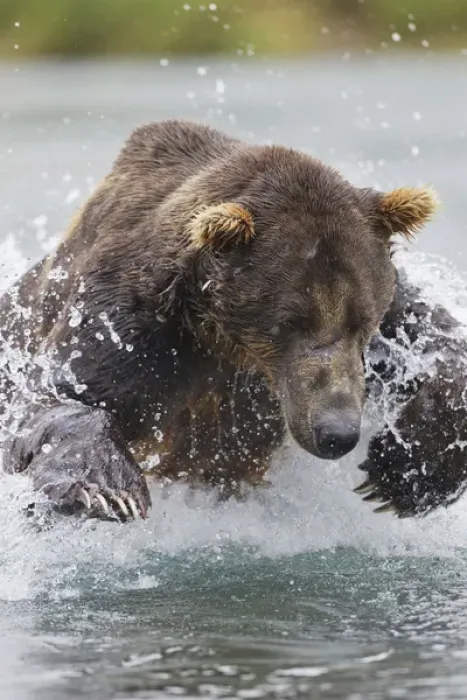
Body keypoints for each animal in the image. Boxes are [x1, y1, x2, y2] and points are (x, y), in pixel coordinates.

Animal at [0, 118, 466, 523]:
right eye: (288, 322)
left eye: (362, 319)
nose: (337, 431)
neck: (224, 342)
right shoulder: (132, 321)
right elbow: (62, 392)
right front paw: (109, 490)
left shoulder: (392, 320)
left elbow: (440, 343)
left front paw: (401, 471)